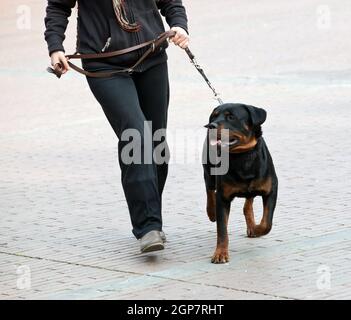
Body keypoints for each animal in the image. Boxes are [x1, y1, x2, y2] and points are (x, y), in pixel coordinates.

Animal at [202, 104, 280, 264]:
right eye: (213, 116)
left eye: (231, 117)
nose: (210, 125)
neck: (242, 156)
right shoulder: (223, 198)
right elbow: (222, 229)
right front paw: (220, 253)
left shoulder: (271, 190)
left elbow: (266, 223)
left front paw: (257, 229)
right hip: (208, 169)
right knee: (209, 190)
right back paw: (211, 212)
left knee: (248, 203)